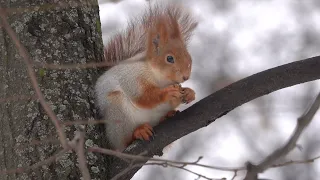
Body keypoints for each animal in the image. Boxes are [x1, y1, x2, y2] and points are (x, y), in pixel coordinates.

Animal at [94, 1, 198, 150]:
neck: (160, 78)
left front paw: (189, 92)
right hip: (117, 113)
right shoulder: (132, 77)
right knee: (123, 142)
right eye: (169, 58)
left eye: (188, 56)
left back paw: (167, 116)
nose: (186, 77)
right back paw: (138, 132)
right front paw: (168, 93)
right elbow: (143, 97)